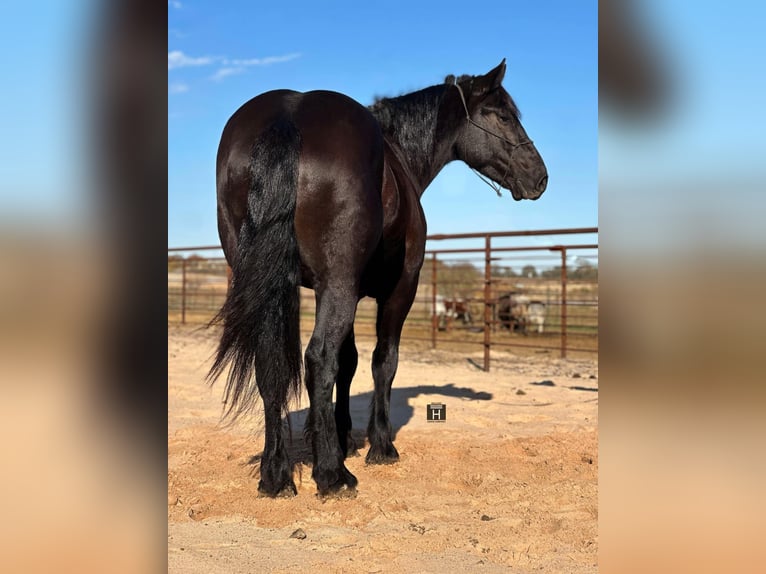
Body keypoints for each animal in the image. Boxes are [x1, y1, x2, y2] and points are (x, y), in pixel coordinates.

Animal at [209, 60, 548, 498]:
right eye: (503, 115)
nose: (540, 177)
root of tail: (288, 115)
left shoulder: (341, 292)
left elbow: (349, 361)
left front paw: (341, 436)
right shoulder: (398, 289)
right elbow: (382, 361)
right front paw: (379, 445)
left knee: (272, 364)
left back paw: (276, 474)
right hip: (339, 284)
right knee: (318, 359)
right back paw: (332, 475)